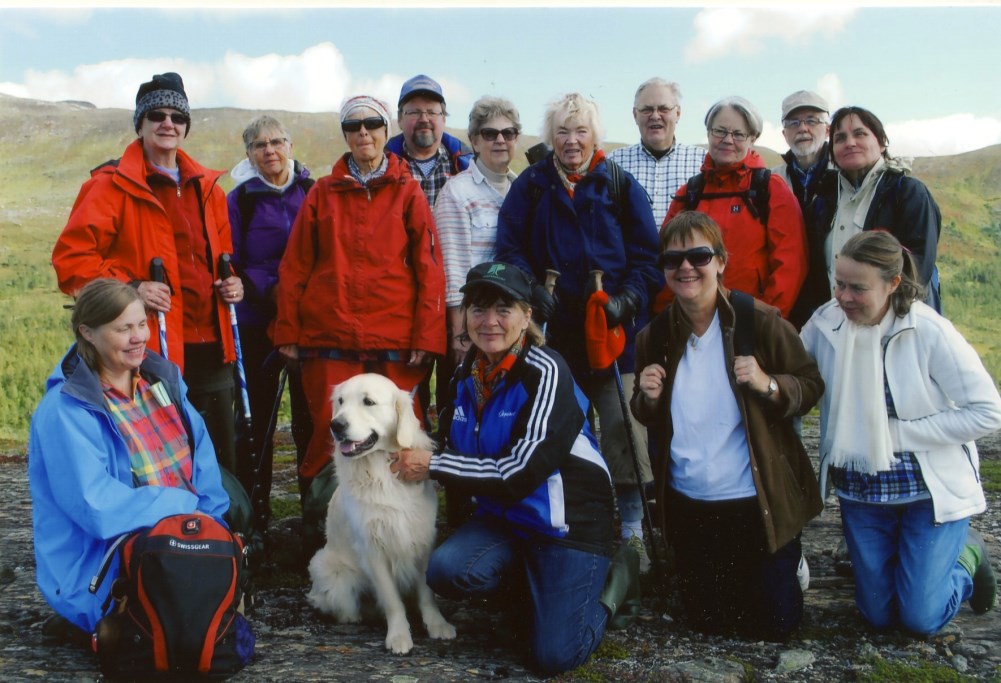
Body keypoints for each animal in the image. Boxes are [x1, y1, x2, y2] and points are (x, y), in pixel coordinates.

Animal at [306, 372, 456, 652]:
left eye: (369, 402)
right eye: (340, 401)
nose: (336, 425)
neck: (381, 470)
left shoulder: (423, 539)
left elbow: (426, 591)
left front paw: (436, 624)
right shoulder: (373, 548)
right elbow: (391, 598)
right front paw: (399, 635)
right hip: (328, 570)